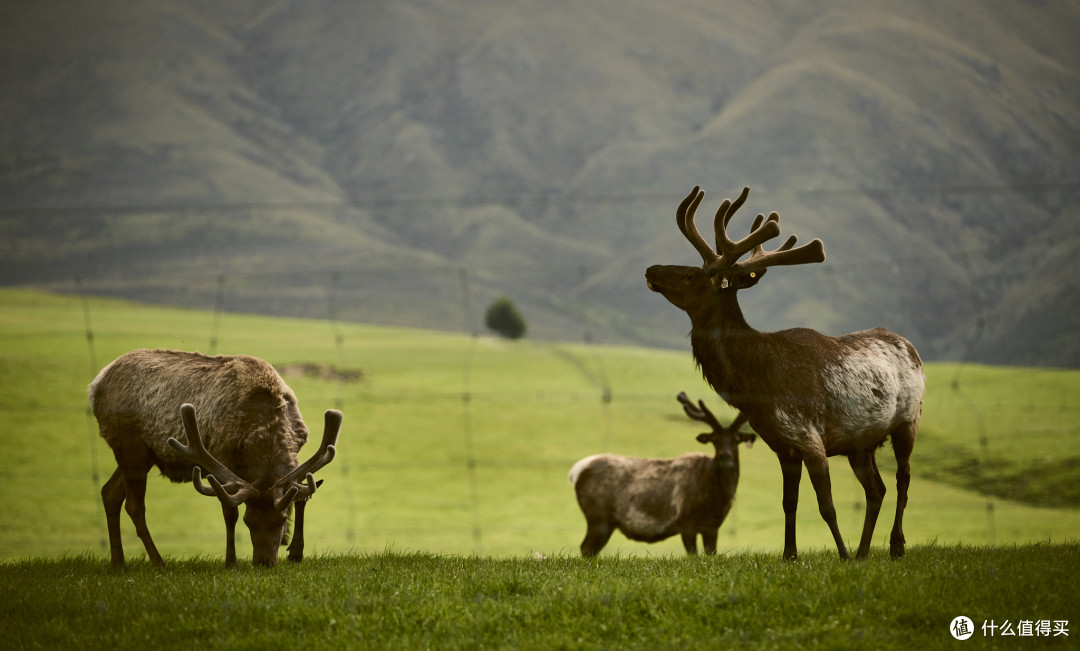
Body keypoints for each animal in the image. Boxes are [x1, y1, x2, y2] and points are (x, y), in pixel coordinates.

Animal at [88, 348, 341, 568]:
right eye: (248, 521)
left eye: (281, 521)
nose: (263, 562)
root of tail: (96, 384)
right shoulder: (221, 456)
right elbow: (229, 511)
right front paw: (231, 562)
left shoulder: (297, 451)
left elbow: (301, 497)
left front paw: (296, 553)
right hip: (130, 445)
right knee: (134, 505)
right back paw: (158, 562)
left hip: (140, 454)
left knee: (109, 492)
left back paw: (118, 562)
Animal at [569, 392, 756, 556]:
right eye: (715, 440)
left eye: (737, 440)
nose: (725, 456)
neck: (715, 499)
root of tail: (576, 471)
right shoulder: (686, 521)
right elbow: (693, 555)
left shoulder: (712, 526)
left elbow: (712, 554)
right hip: (598, 516)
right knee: (586, 547)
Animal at [644, 186, 925, 560]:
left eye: (691, 275)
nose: (650, 269)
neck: (757, 385)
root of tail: (911, 346)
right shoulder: (782, 445)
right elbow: (788, 503)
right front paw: (790, 554)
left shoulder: (809, 435)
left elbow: (826, 505)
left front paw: (842, 554)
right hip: (860, 444)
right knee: (876, 490)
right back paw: (865, 552)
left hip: (908, 420)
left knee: (902, 479)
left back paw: (894, 545)